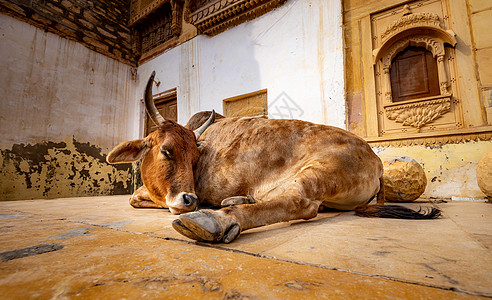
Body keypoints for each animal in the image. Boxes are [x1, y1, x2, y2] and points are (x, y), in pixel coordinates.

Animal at [106, 72, 438, 244]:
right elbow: (137, 198)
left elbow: (137, 198)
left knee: (299, 203)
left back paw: (216, 219)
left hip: (319, 172)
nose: (190, 200)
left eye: (196, 158)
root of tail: (376, 160)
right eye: (167, 150)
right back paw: (236, 200)